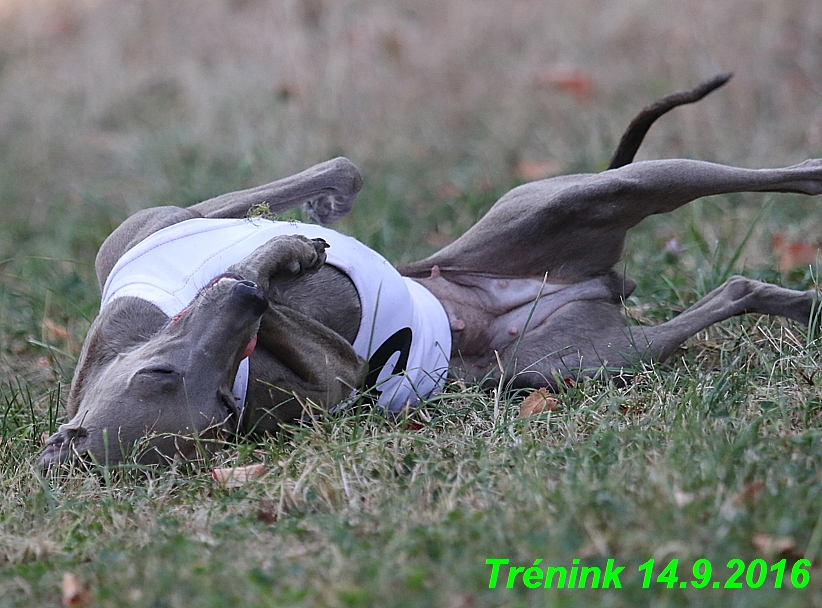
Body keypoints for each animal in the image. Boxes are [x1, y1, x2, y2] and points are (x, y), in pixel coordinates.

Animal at [40, 75, 822, 466]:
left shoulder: (159, 225)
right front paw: (286, 258)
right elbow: (331, 351)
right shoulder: (327, 379)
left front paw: (310, 224)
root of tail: (590, 284)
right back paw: (803, 304)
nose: (243, 309)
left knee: (753, 184)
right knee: (735, 288)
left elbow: (328, 174)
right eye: (223, 411)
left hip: (581, 201)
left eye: (157, 373)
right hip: (581, 357)